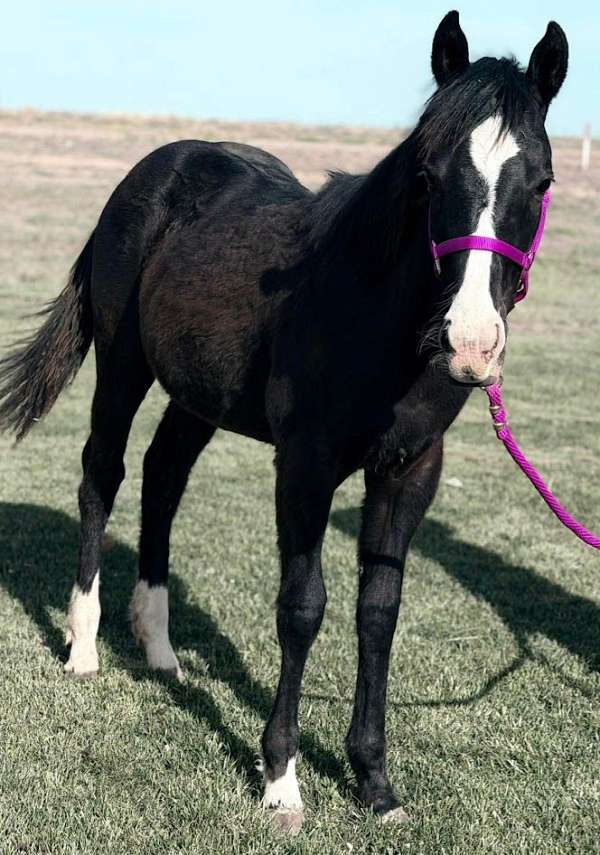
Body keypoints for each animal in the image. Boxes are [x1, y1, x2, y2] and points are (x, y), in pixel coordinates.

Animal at [0, 11, 567, 828]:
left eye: (542, 182)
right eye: (427, 177)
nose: (469, 343)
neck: (371, 313)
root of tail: (154, 171)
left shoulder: (411, 469)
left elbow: (378, 611)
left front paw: (374, 782)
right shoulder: (305, 465)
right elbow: (303, 608)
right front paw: (281, 779)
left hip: (198, 396)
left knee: (163, 477)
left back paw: (160, 648)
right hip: (122, 366)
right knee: (102, 473)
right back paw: (84, 646)